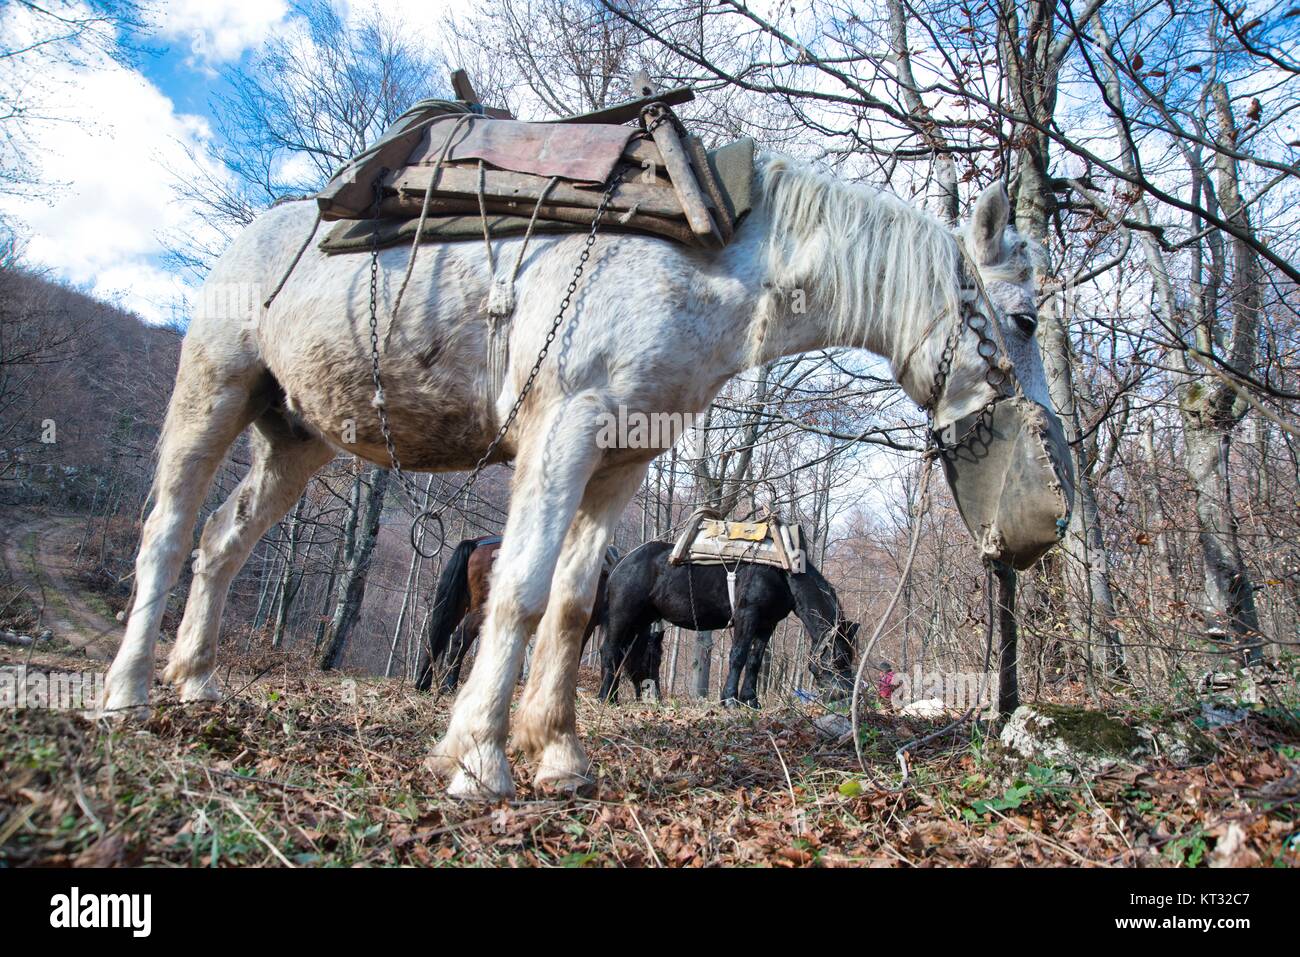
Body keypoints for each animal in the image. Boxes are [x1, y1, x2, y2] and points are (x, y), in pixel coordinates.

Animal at [416, 535, 618, 691]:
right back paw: (449, 686)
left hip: (460, 605)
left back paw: (425, 683)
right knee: (459, 641)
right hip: (481, 611)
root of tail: (477, 543)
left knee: (438, 636)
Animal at [603, 540, 857, 707]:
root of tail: (621, 561)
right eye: (839, 658)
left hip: (640, 621)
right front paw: (730, 699)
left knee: (627, 655)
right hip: (622, 616)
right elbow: (738, 656)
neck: (781, 572)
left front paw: (751, 700)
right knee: (610, 651)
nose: (846, 695)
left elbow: (754, 661)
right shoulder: (747, 615)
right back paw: (606, 696)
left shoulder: (767, 624)